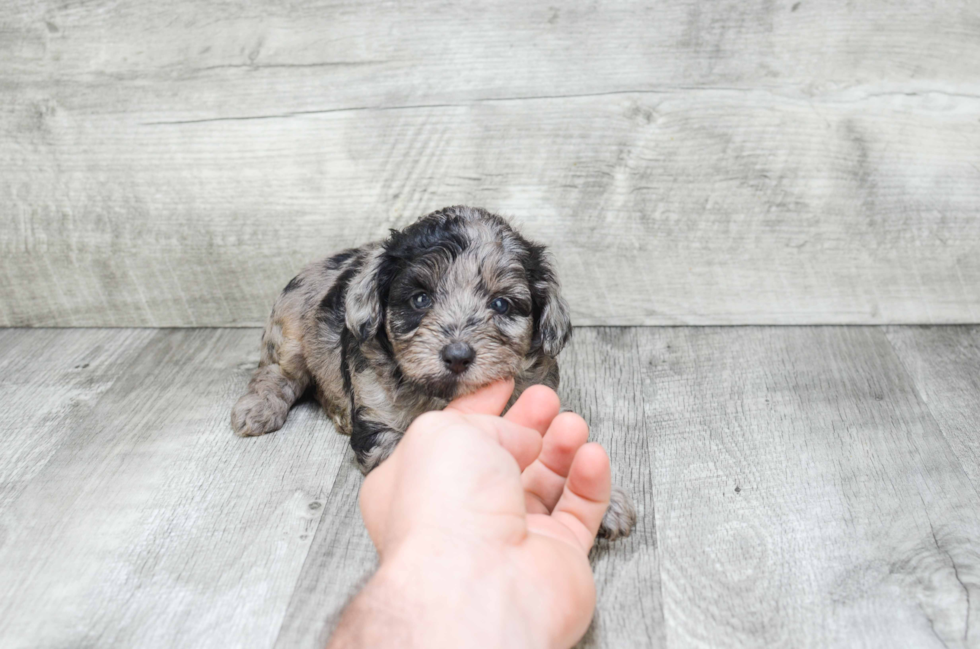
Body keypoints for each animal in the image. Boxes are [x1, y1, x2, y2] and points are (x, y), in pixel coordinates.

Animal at [234, 205, 640, 540]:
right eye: (420, 299)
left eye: (501, 304)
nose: (457, 356)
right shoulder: (380, 420)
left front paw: (608, 502)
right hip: (289, 332)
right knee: (276, 372)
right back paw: (259, 408)